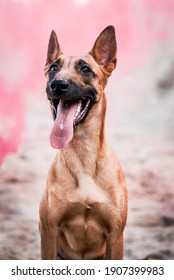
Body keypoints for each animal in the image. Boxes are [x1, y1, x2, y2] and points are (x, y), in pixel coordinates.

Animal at [39, 25, 128, 260]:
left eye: (86, 69)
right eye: (53, 68)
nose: (57, 84)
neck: (83, 154)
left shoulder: (115, 236)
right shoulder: (49, 232)